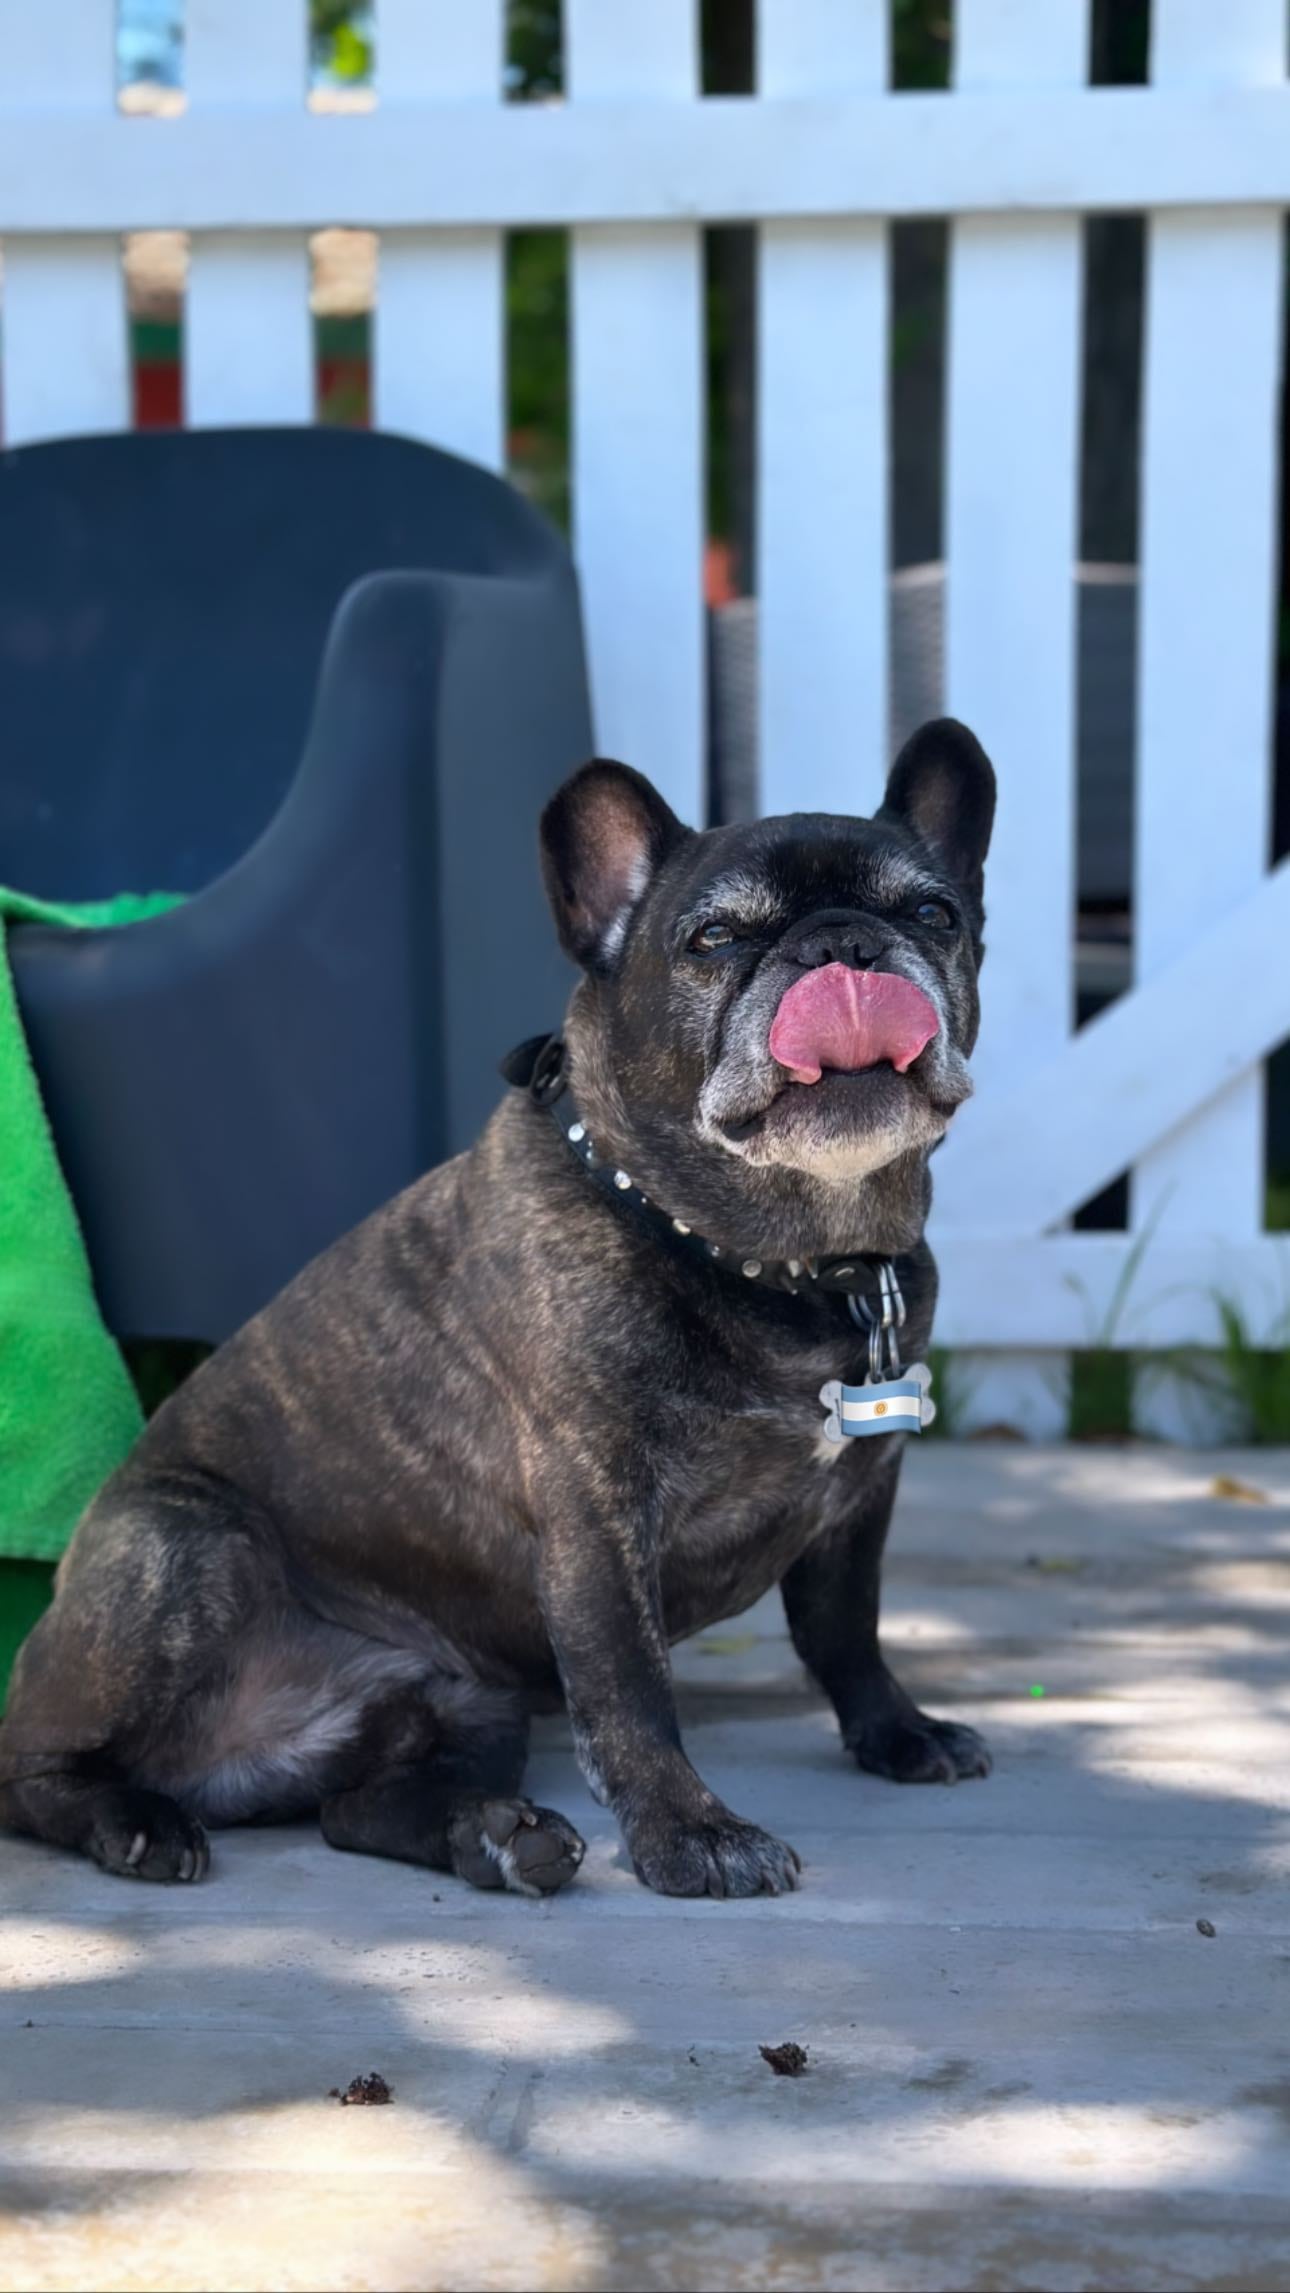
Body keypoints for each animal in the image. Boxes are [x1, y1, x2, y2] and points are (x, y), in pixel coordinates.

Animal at [0, 715, 999, 1898]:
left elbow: (849, 1629)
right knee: (30, 1771)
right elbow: (630, 1693)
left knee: (354, 1809)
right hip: (187, 1555)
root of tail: (232, 1765)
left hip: (463, 1700)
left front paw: (898, 1731)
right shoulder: (596, 1518)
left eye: (934, 914)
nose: (842, 945)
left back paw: (492, 1833)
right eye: (713, 938)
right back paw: (134, 1821)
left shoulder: (859, 1498)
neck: (780, 1259)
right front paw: (692, 1832)